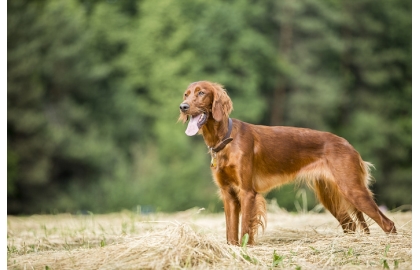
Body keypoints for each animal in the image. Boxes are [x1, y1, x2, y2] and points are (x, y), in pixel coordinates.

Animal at [178, 79, 398, 245]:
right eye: (186, 94)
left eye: (201, 93)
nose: (183, 107)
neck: (226, 139)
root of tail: (349, 145)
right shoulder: (228, 194)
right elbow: (230, 233)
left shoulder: (247, 192)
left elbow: (245, 230)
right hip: (329, 194)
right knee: (351, 225)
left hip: (352, 189)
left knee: (388, 223)